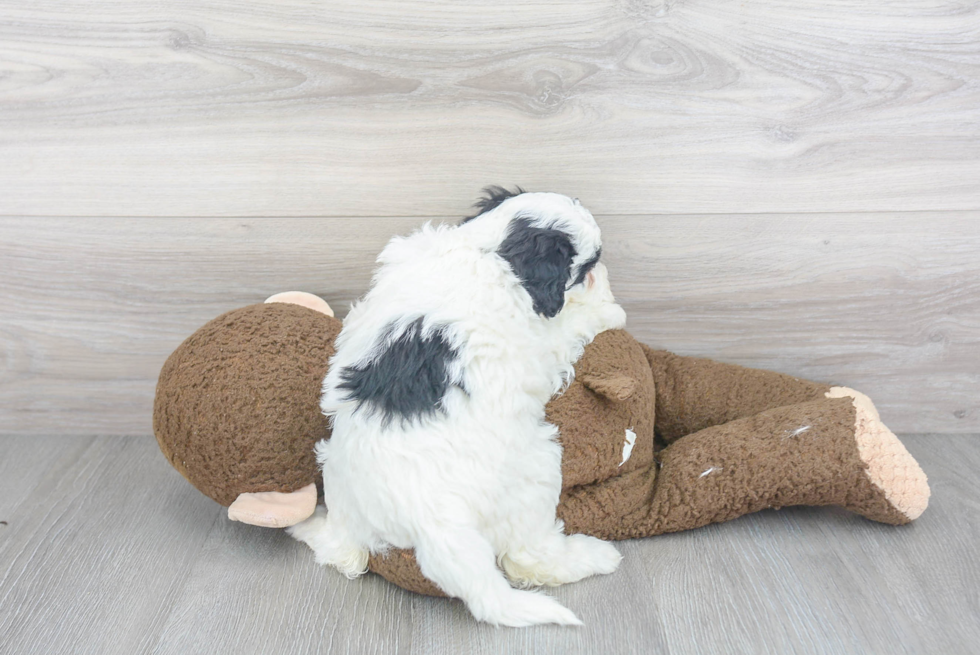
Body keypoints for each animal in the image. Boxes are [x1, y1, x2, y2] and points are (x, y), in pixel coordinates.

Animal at [290, 187, 628, 628]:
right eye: (586, 266)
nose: (601, 272)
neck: (488, 250)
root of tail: (431, 522)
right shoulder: (544, 338)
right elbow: (578, 322)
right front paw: (610, 308)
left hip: (336, 476)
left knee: (343, 551)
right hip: (537, 469)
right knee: (528, 555)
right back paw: (592, 556)